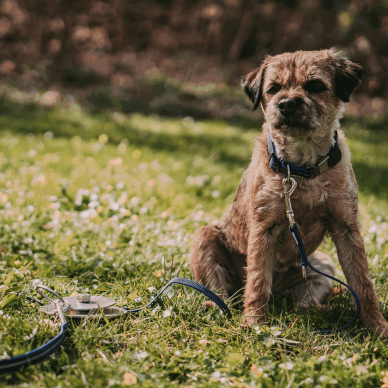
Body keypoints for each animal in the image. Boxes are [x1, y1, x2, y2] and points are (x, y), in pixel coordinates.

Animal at [190, 47, 388, 334]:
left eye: (315, 86)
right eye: (273, 89)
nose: (286, 104)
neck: (301, 167)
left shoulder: (346, 228)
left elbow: (363, 283)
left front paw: (377, 327)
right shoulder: (264, 228)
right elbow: (257, 279)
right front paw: (253, 323)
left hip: (322, 265)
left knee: (303, 303)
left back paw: (321, 311)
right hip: (204, 238)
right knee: (223, 292)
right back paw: (216, 305)